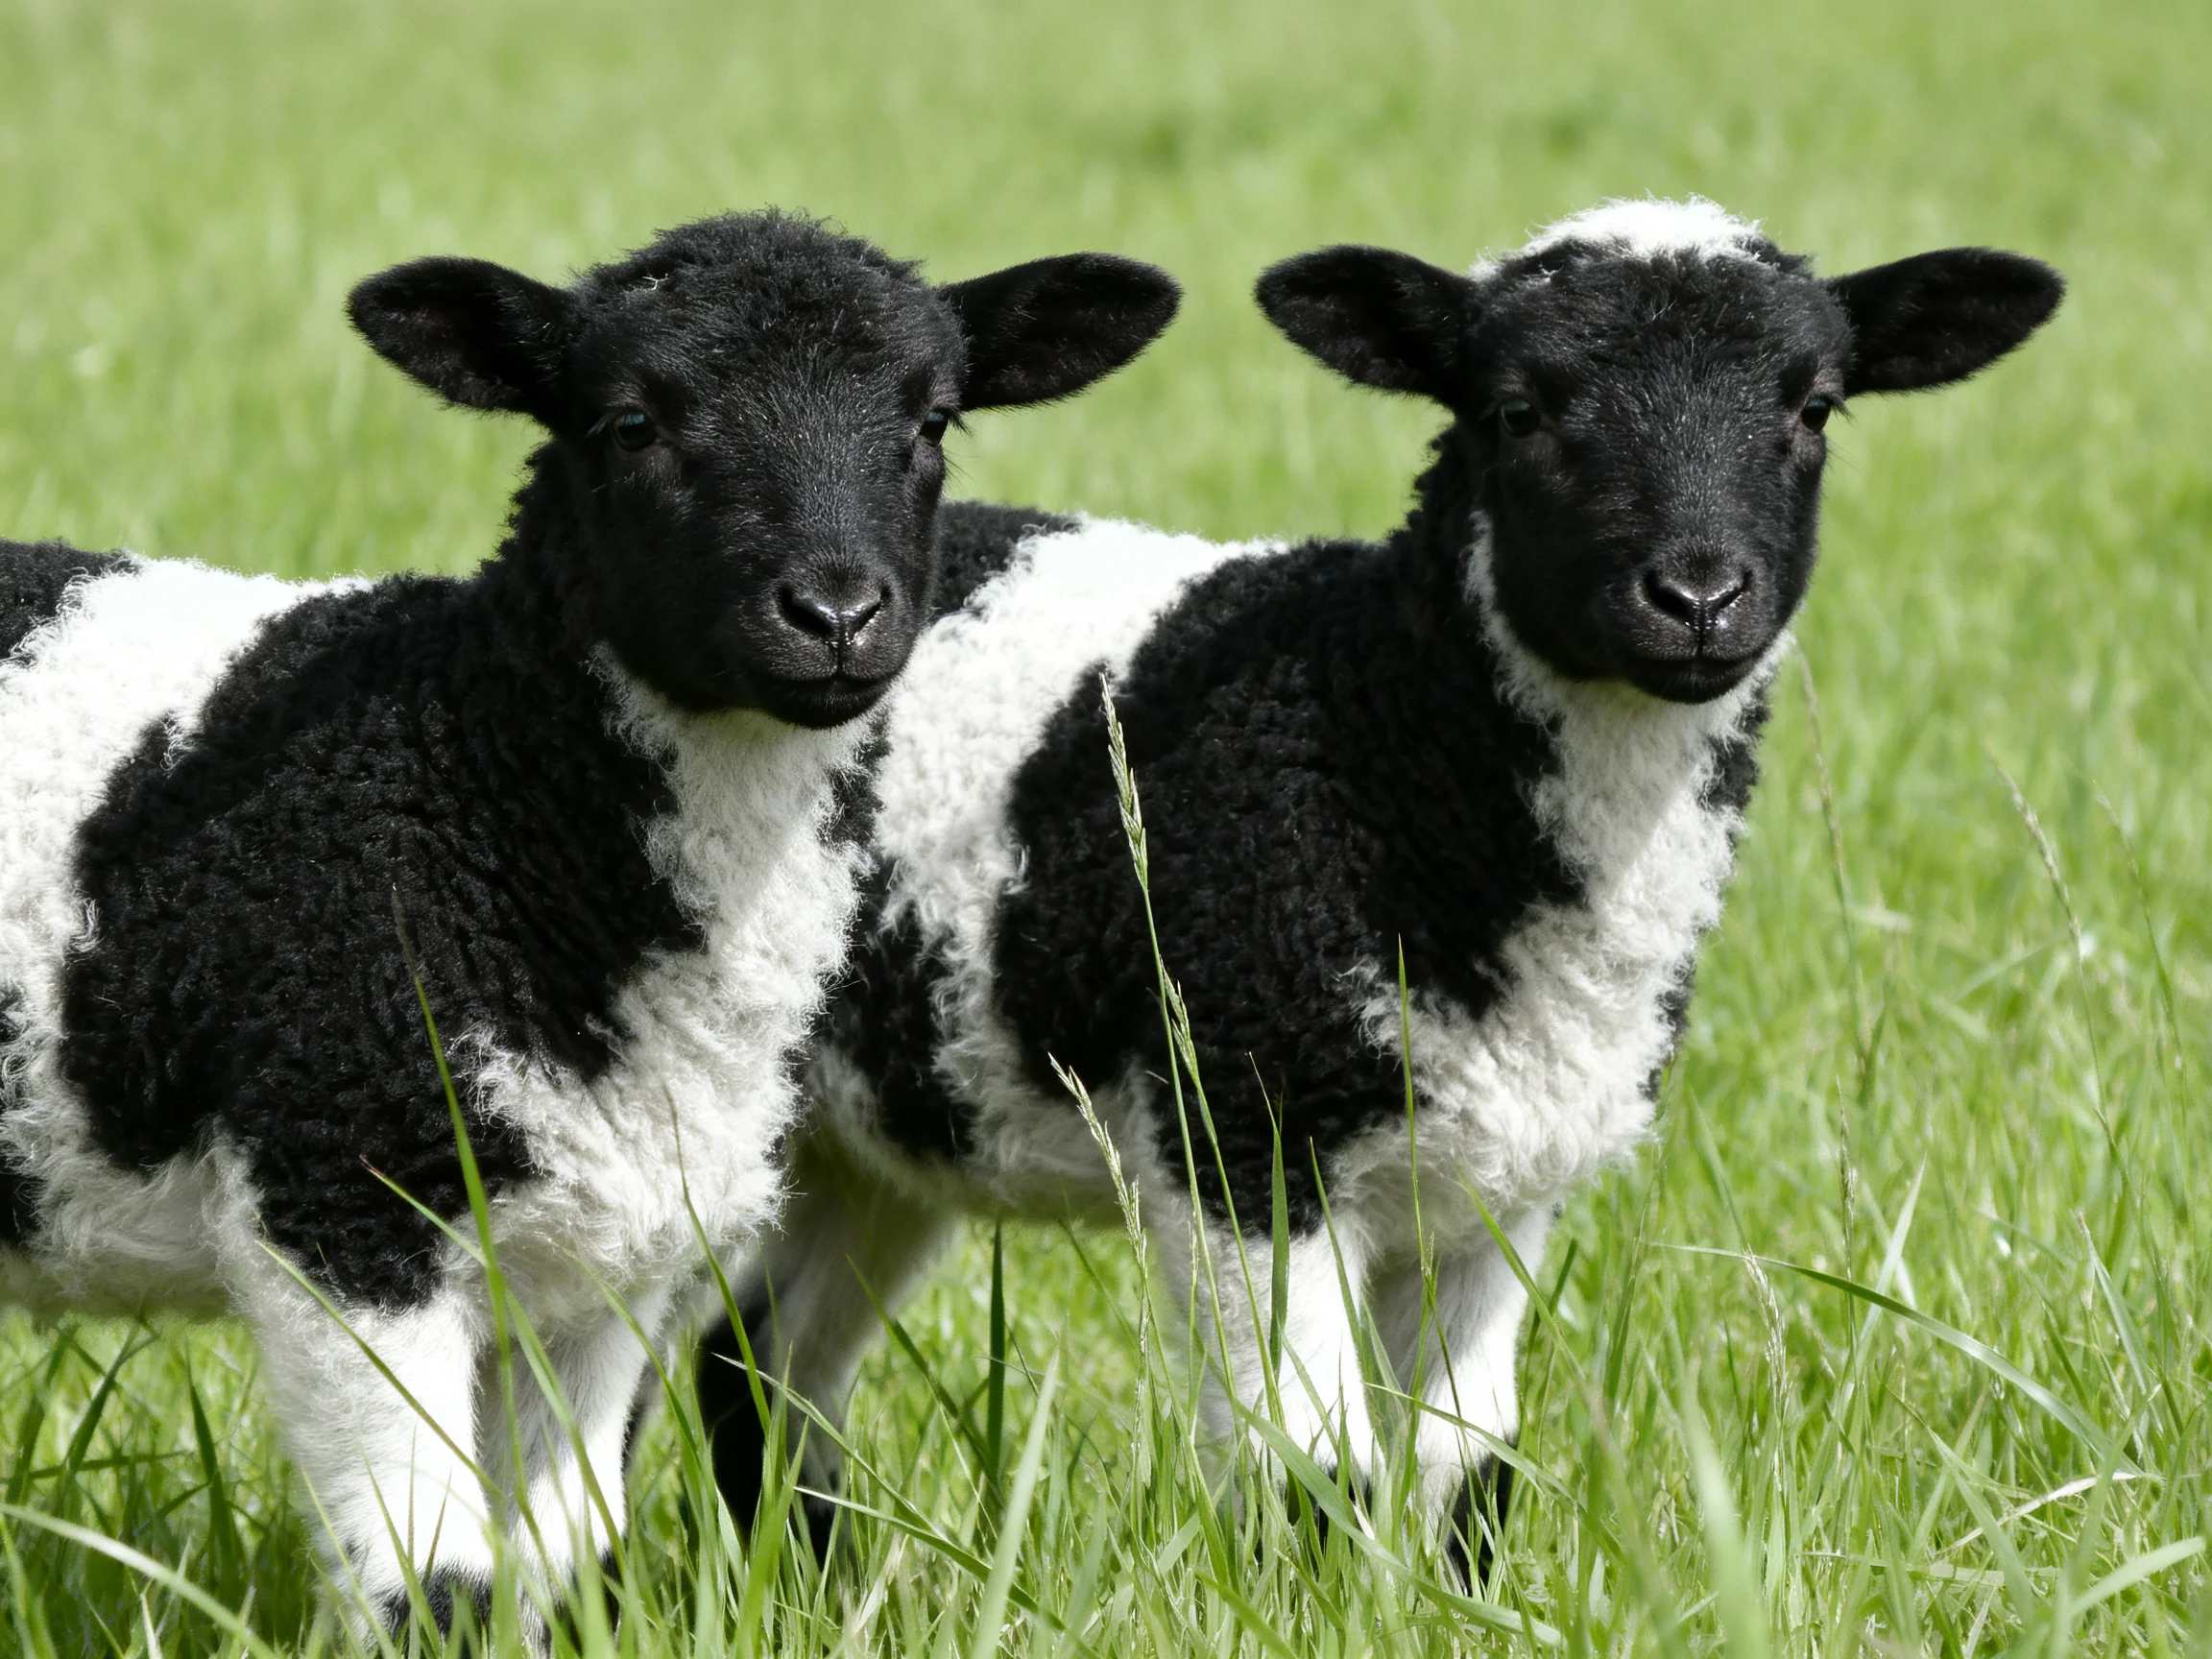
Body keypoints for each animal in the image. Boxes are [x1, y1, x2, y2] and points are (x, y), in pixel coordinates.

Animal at [0, 210, 1179, 1633]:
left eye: (934, 421)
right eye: (629, 423)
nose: (837, 615)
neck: (481, 790)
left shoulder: (610, 1258)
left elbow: (560, 1560)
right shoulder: (344, 1196)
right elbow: (436, 1584)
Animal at [696, 200, 2064, 1574]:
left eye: (1815, 408)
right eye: (1518, 408)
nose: (1699, 596)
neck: (1379, 736)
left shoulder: (1502, 1181)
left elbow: (1466, 1464)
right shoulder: (1243, 1123)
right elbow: (1309, 1466)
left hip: (870, 1139)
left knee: (763, 1361)